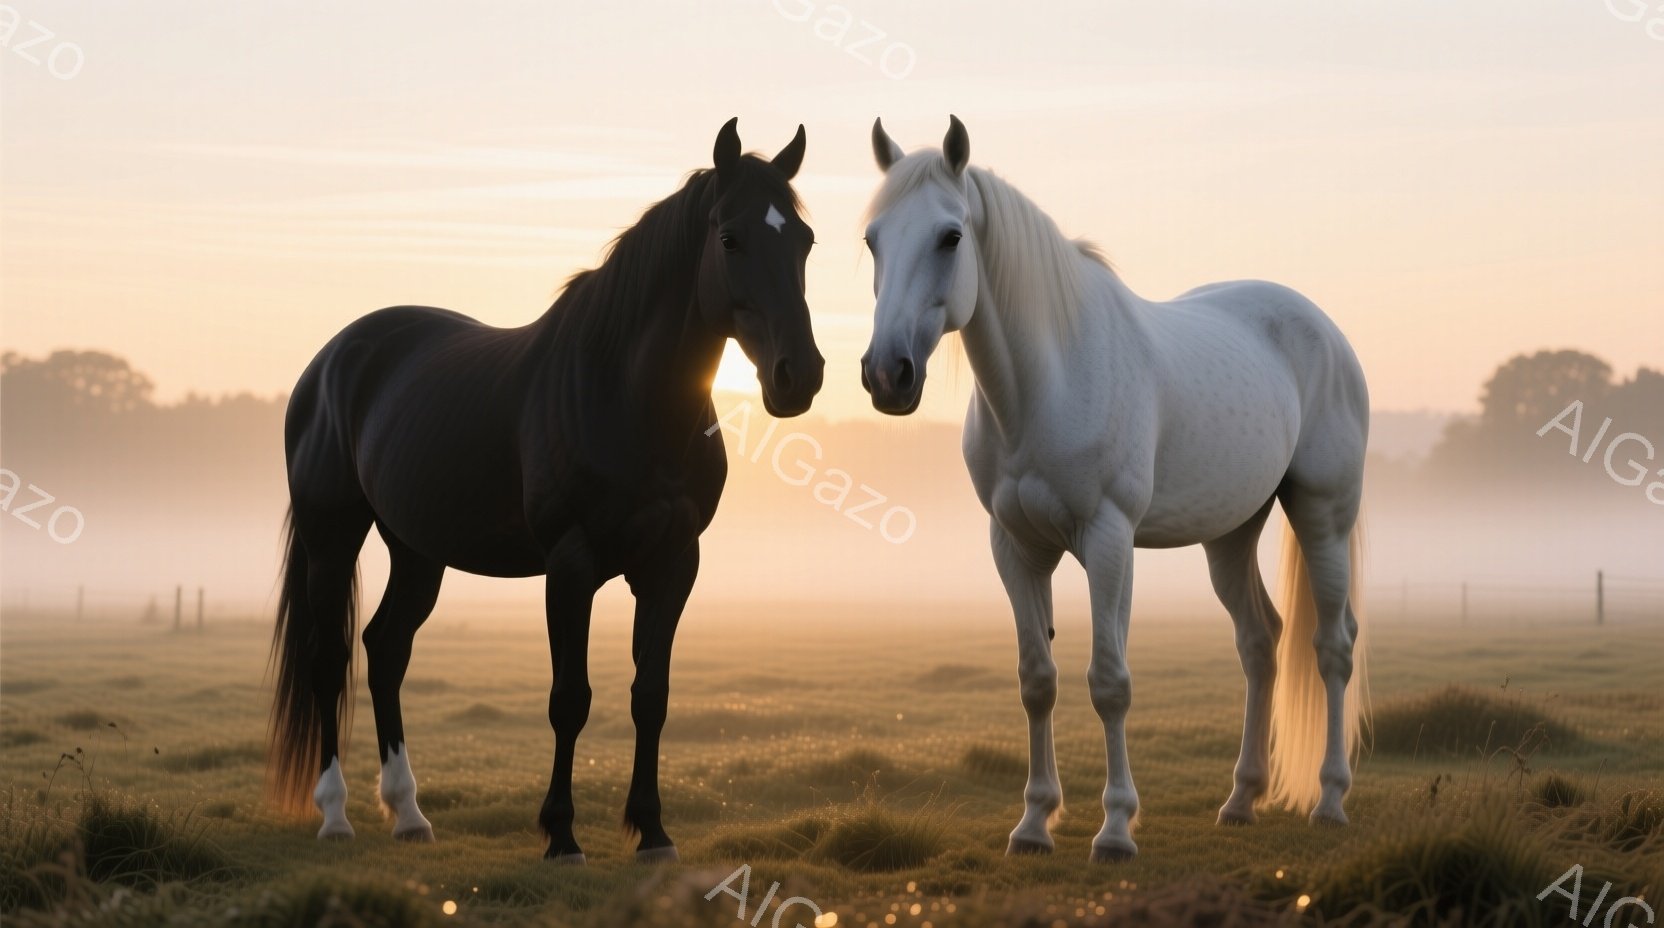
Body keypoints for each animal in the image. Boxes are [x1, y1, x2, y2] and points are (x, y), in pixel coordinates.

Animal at [267, 118, 824, 864]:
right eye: (730, 237)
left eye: (804, 239)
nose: (800, 375)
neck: (627, 397)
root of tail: (333, 358)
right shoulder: (571, 564)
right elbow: (571, 699)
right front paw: (561, 834)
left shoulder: (674, 564)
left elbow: (651, 696)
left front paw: (652, 831)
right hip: (332, 539)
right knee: (329, 660)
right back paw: (335, 816)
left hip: (417, 550)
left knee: (385, 650)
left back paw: (409, 813)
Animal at [859, 116, 1369, 861]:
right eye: (873, 238)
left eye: (950, 236)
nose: (886, 374)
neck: (1046, 384)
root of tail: (1322, 329)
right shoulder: (1015, 547)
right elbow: (1037, 681)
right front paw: (1034, 823)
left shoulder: (1108, 539)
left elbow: (1110, 682)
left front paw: (1116, 829)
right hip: (1230, 534)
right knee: (1259, 642)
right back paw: (1241, 799)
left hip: (1322, 516)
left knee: (1331, 646)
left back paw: (1330, 800)